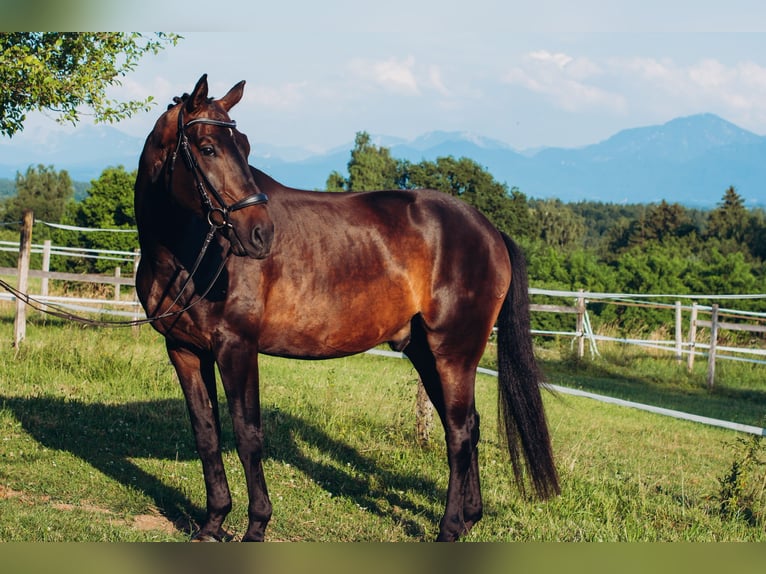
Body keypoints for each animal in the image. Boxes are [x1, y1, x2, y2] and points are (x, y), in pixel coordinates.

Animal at [135, 74, 560, 544]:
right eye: (208, 147)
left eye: (243, 146)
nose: (261, 234)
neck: (191, 251)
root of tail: (488, 230)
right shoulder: (185, 350)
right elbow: (207, 434)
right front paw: (212, 523)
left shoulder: (237, 348)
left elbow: (248, 435)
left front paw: (256, 526)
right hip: (423, 351)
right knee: (468, 424)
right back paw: (469, 517)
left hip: (454, 353)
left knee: (460, 431)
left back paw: (449, 527)